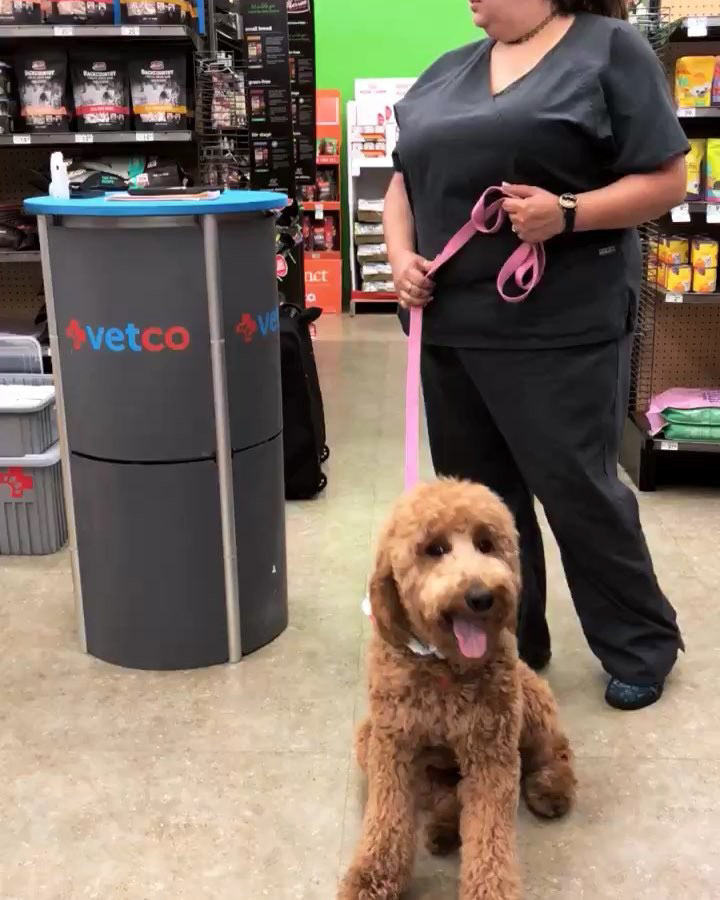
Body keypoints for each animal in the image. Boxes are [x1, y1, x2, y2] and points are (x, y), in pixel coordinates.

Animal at [339, 479, 576, 900]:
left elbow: (489, 837)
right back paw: (445, 827)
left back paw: (551, 787)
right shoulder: (392, 747)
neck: (443, 665)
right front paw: (369, 878)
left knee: (556, 750)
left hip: (530, 700)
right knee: (447, 794)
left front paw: (490, 890)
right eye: (434, 549)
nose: (481, 597)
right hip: (368, 737)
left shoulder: (491, 753)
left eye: (486, 544)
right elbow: (386, 820)